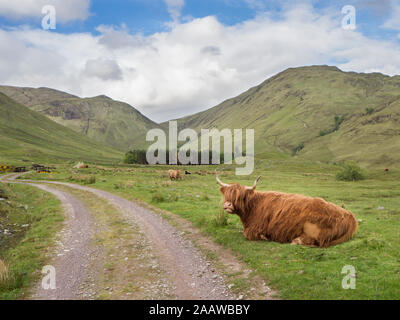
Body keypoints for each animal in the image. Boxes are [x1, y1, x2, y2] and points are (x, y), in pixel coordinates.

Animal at [217, 172, 358, 248]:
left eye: (240, 197)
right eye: (228, 194)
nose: (228, 205)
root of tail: (350, 216)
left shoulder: (254, 229)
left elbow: (248, 234)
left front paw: (265, 237)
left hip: (313, 227)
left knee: (315, 241)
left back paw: (296, 240)